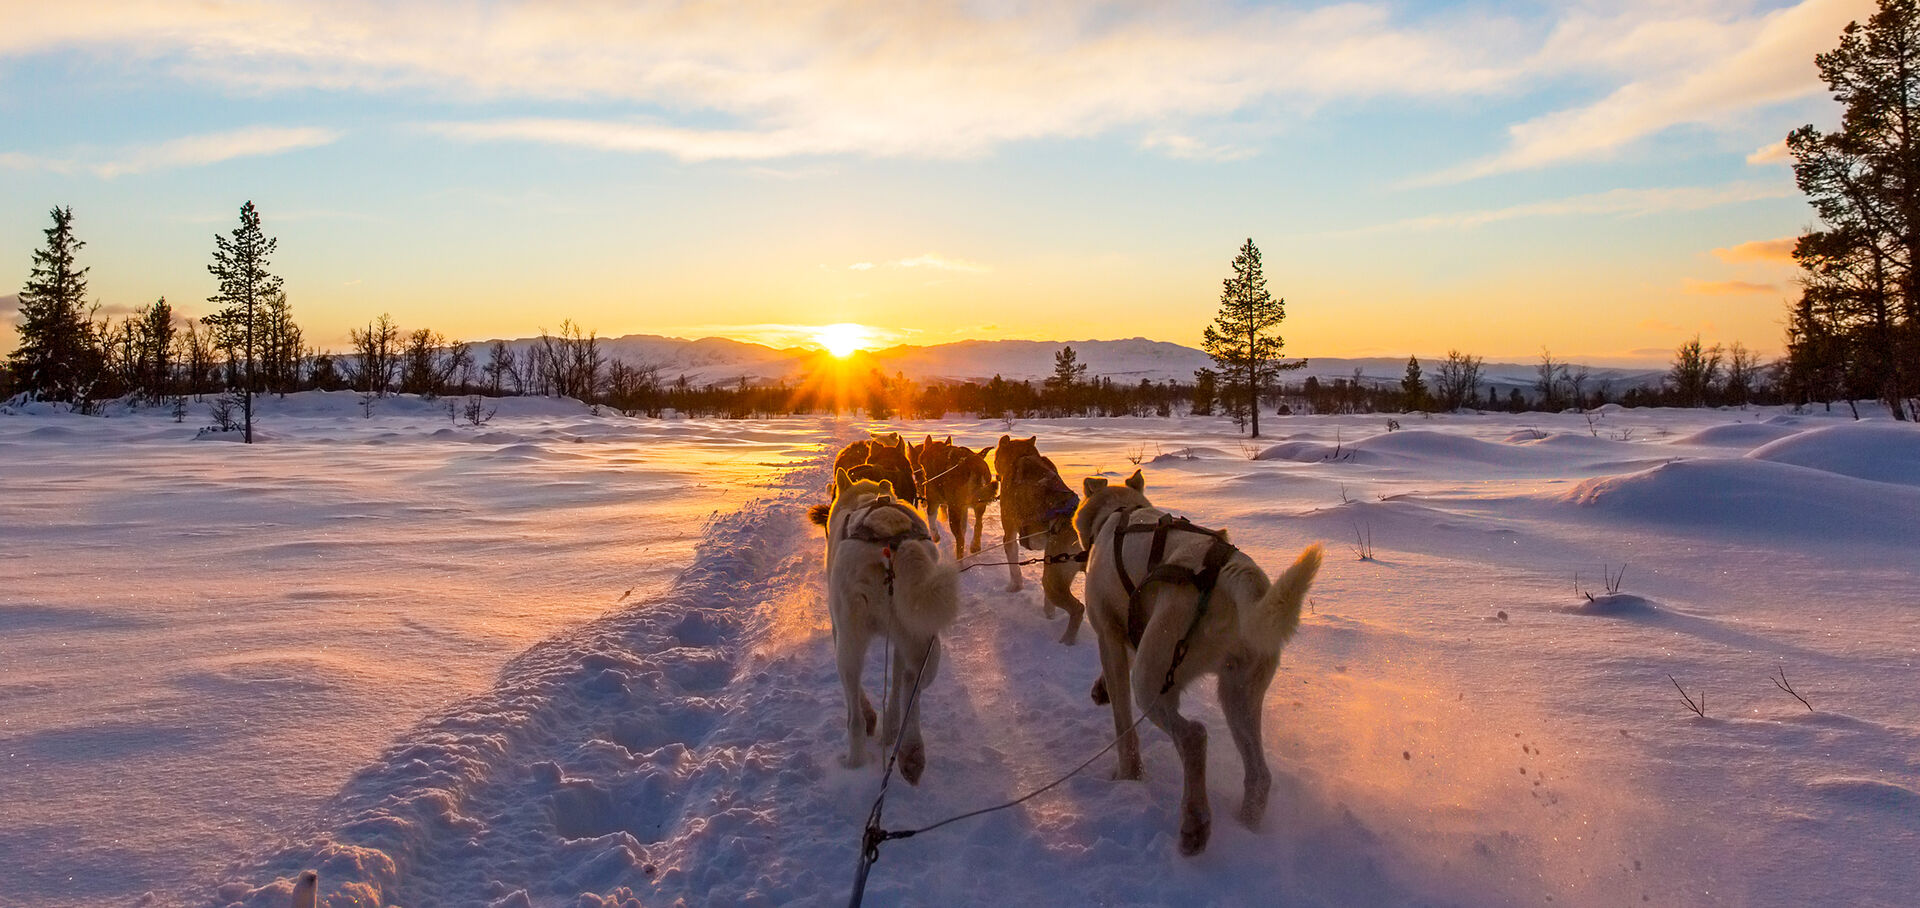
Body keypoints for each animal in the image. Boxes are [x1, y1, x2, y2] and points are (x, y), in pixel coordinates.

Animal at [817, 466, 960, 779]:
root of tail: (894, 544)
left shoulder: (838, 630)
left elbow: (860, 699)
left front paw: (872, 719)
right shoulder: (899, 643)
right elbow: (896, 685)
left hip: (850, 643)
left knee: (855, 715)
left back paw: (855, 760)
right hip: (923, 639)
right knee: (910, 684)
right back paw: (908, 748)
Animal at [998, 433, 1090, 641]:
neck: (1022, 456)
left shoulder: (1010, 532)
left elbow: (1014, 567)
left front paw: (1013, 587)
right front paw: (1050, 613)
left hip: (1052, 581)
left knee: (1078, 609)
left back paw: (1067, 642)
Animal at [1075, 470, 1328, 852]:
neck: (1118, 514)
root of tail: (1233, 573)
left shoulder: (1110, 637)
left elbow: (1124, 727)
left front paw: (1129, 776)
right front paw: (1099, 687)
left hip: (1153, 680)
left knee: (1194, 736)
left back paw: (1195, 822)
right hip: (1239, 692)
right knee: (1258, 775)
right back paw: (1246, 827)